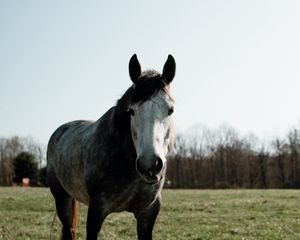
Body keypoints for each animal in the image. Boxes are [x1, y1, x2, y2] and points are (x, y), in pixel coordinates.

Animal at [46, 54, 176, 240]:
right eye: (131, 111)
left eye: (170, 110)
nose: (149, 165)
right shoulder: (96, 210)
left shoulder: (148, 212)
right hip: (62, 198)